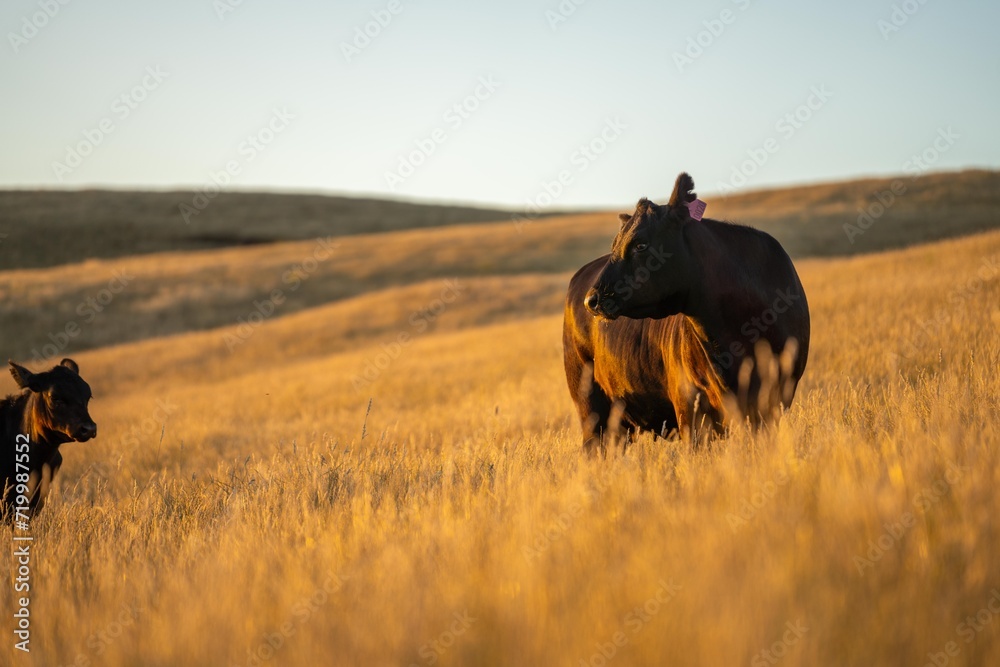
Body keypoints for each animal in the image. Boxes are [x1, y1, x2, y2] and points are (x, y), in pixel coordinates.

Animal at [563, 173, 810, 453]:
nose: (592, 300)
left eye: (641, 244)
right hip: (589, 406)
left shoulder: (775, 401)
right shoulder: (690, 410)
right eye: (615, 244)